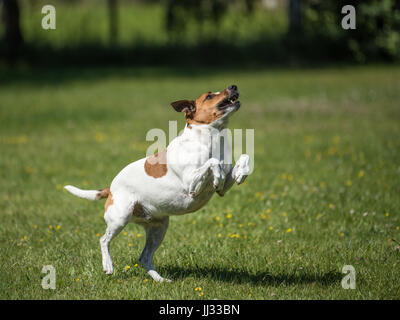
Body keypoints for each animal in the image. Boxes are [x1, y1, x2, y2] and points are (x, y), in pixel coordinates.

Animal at [65, 85, 250, 282]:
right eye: (209, 96)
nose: (233, 86)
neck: (211, 140)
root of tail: (111, 189)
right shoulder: (191, 184)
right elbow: (213, 163)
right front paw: (218, 175)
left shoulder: (223, 188)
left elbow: (243, 158)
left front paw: (241, 173)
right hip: (120, 218)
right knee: (104, 240)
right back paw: (108, 265)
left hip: (158, 229)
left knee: (144, 257)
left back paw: (161, 280)